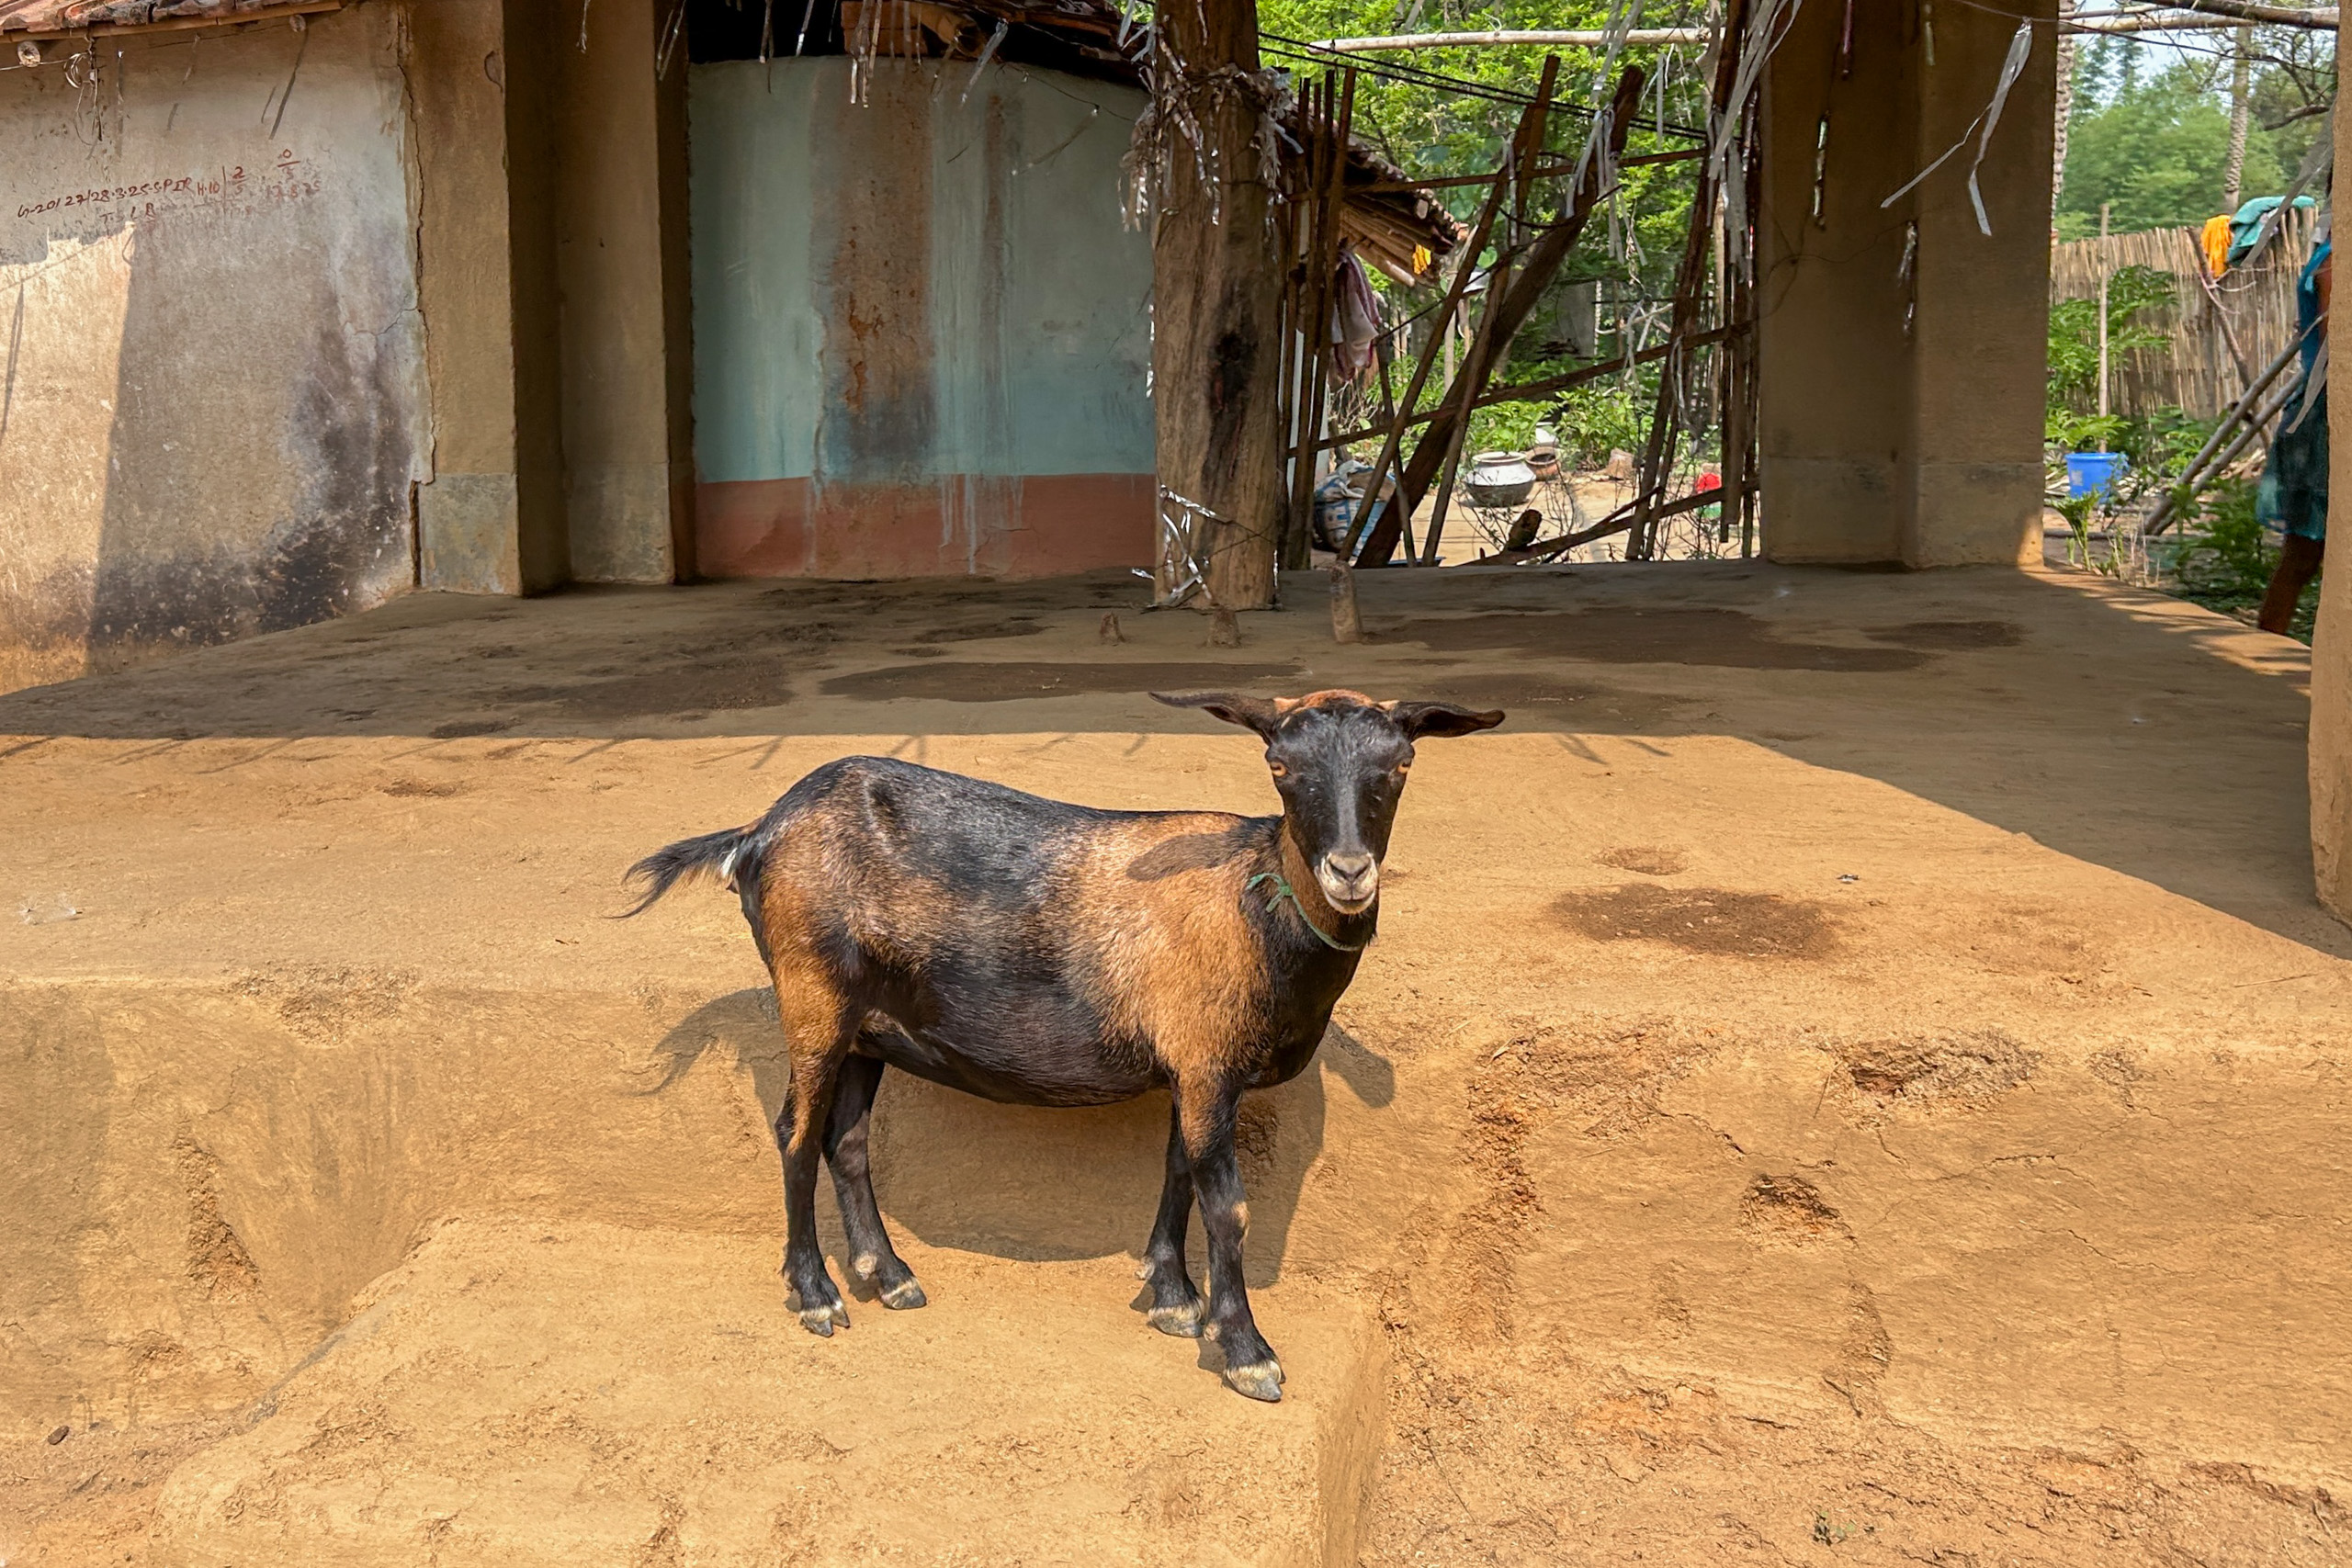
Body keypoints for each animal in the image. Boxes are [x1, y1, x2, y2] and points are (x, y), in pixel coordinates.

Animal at [624, 689, 1504, 1400]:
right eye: (1281, 766)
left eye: (1401, 763)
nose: (1349, 871)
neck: (1254, 904)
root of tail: (756, 832)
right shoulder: (1208, 1064)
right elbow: (1227, 1203)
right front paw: (1246, 1350)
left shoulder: (1186, 1067)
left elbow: (1176, 1169)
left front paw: (1173, 1296)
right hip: (812, 995)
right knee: (796, 1132)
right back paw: (816, 1293)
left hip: (869, 1028)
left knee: (848, 1139)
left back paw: (890, 1274)